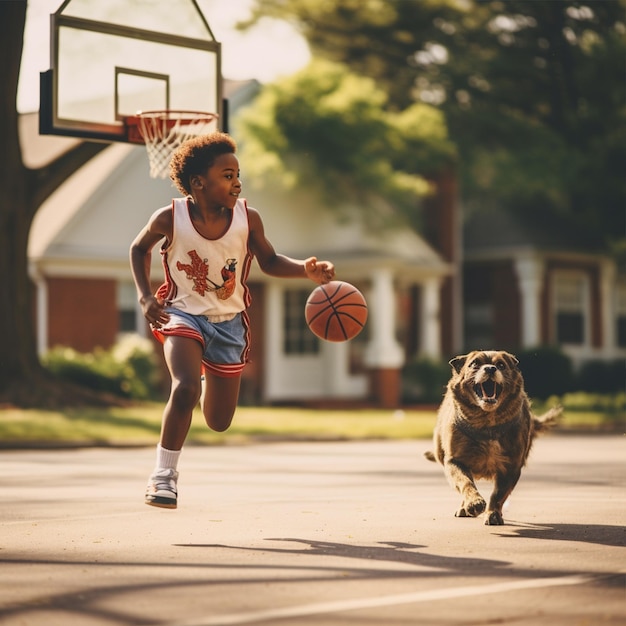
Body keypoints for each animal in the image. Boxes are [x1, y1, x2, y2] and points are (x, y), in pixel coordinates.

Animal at [422, 348, 560, 524]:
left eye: (501, 365)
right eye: (474, 364)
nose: (490, 368)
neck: (487, 422)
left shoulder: (512, 466)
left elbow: (499, 494)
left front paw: (493, 513)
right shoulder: (454, 461)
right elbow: (465, 482)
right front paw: (474, 502)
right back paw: (464, 507)